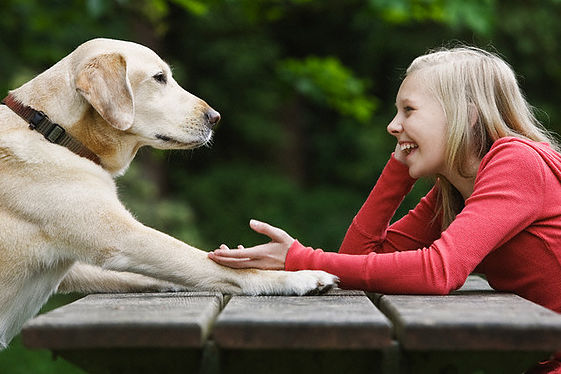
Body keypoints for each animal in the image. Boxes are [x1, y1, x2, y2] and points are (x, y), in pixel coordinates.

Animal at [0, 38, 336, 348]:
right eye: (159, 77)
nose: (215, 117)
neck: (51, 129)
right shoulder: (124, 238)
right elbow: (211, 263)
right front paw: (298, 277)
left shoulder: (74, 268)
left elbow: (160, 273)